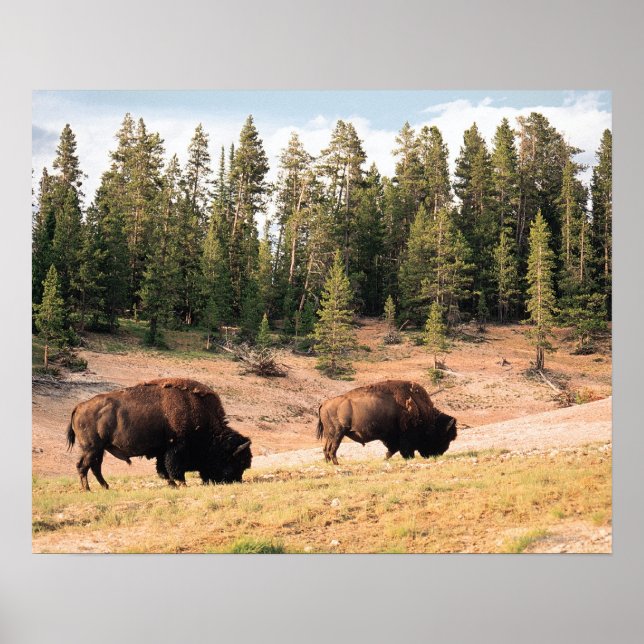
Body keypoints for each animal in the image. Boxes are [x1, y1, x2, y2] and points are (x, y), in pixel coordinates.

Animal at [66, 378, 252, 490]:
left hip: (99, 449)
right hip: (92, 448)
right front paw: (181, 484)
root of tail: (80, 406)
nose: (235, 481)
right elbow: (174, 469)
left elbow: (163, 469)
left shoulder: (163, 451)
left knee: (95, 467)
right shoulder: (176, 448)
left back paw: (106, 487)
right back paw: (88, 489)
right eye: (236, 462)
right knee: (83, 466)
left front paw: (173, 485)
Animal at [317, 380, 457, 464]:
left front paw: (385, 458)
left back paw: (330, 463)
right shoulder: (404, 437)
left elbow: (392, 450)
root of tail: (325, 403)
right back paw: (336, 464)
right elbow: (401, 450)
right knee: (333, 448)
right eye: (445, 437)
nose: (438, 454)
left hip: (331, 434)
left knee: (326, 448)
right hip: (338, 433)